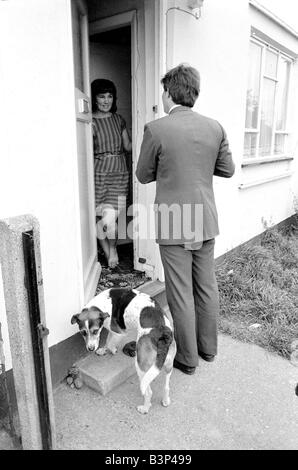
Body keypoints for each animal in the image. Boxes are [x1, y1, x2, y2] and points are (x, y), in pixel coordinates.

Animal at [70, 286, 176, 414]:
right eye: (83, 332)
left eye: (95, 331)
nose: (90, 349)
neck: (101, 304)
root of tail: (162, 333)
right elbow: (108, 340)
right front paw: (103, 350)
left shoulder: (119, 333)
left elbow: (109, 342)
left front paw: (111, 350)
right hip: (168, 364)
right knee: (166, 386)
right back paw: (165, 401)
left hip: (141, 367)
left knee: (148, 392)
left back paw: (145, 408)